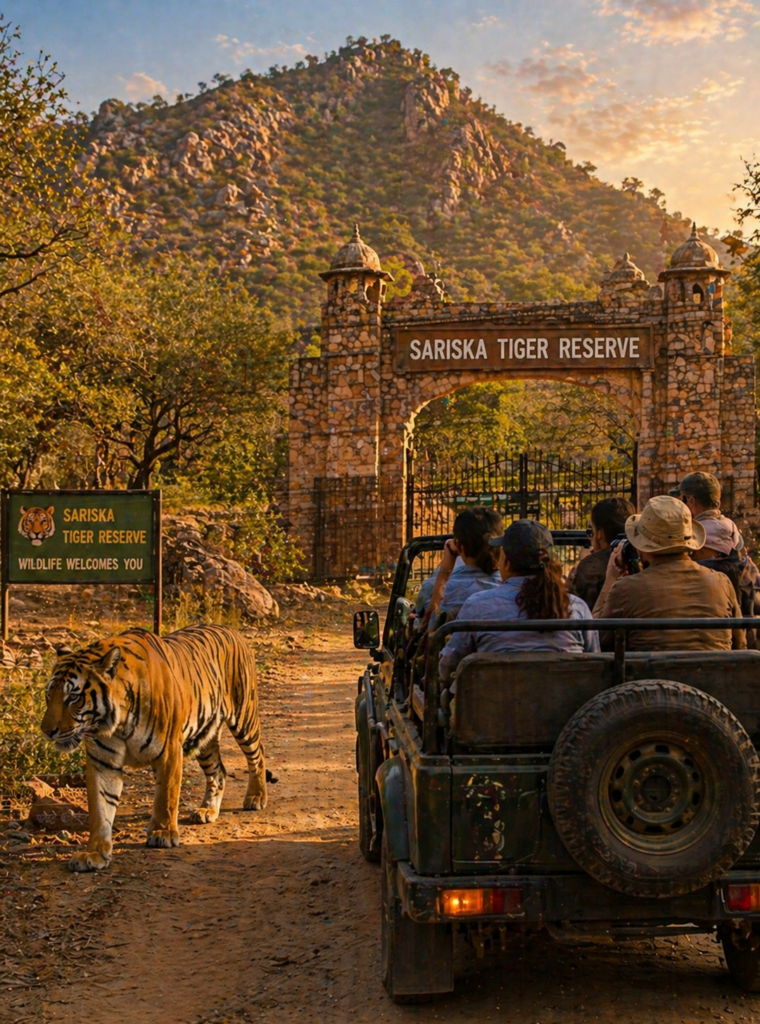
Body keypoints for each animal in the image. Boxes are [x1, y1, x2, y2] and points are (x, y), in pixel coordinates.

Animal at [41, 625, 267, 872]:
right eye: (48, 694)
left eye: (73, 697)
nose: (46, 730)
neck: (115, 723)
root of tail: (231, 629)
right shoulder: (102, 762)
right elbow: (100, 810)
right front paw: (94, 853)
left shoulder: (168, 750)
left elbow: (166, 796)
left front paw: (163, 833)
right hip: (205, 737)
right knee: (219, 772)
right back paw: (207, 810)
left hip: (244, 718)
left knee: (258, 755)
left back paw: (256, 797)